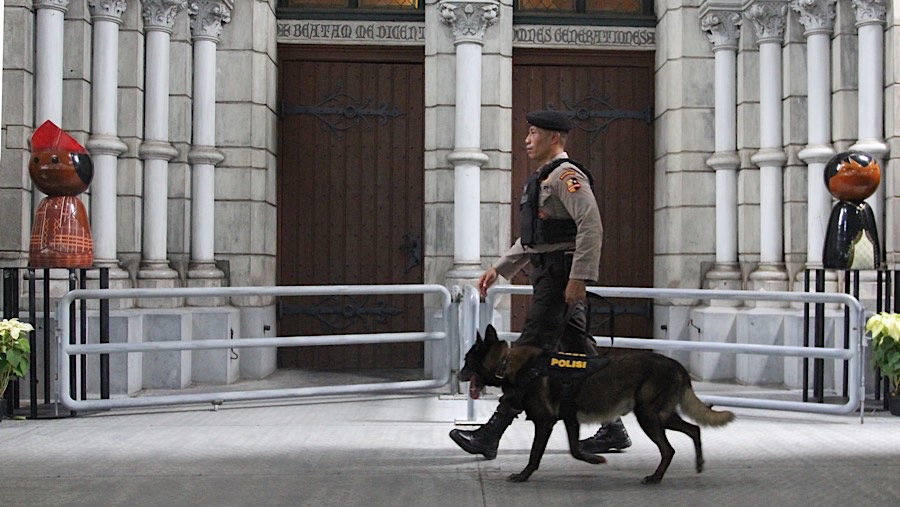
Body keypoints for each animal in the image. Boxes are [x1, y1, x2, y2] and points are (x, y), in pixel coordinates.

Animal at [460, 326, 736, 484]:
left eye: (467, 360)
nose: (457, 373)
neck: (506, 362)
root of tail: (676, 365)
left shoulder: (545, 423)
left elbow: (535, 453)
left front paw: (524, 475)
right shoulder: (569, 420)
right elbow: (574, 449)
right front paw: (593, 459)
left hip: (649, 416)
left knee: (669, 449)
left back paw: (656, 477)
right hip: (660, 416)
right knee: (694, 430)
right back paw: (698, 463)